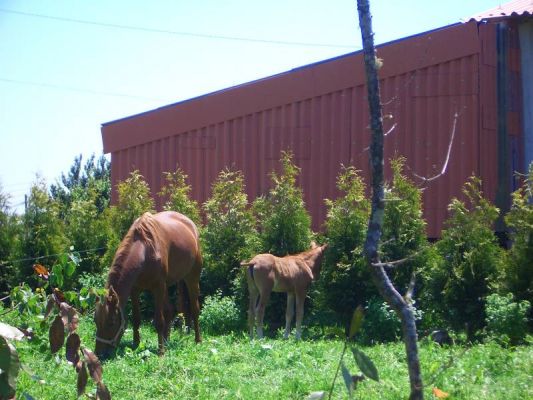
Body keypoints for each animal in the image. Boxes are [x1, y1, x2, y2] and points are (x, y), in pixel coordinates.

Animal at [93, 209, 202, 356]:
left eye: (111, 322)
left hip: (191, 278)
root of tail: (191, 225)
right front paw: (136, 344)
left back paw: (197, 340)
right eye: (95, 320)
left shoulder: (158, 287)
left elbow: (159, 321)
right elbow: (136, 318)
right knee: (170, 310)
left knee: (195, 309)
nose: (99, 354)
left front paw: (161, 352)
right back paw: (167, 340)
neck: (144, 250)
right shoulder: (135, 290)